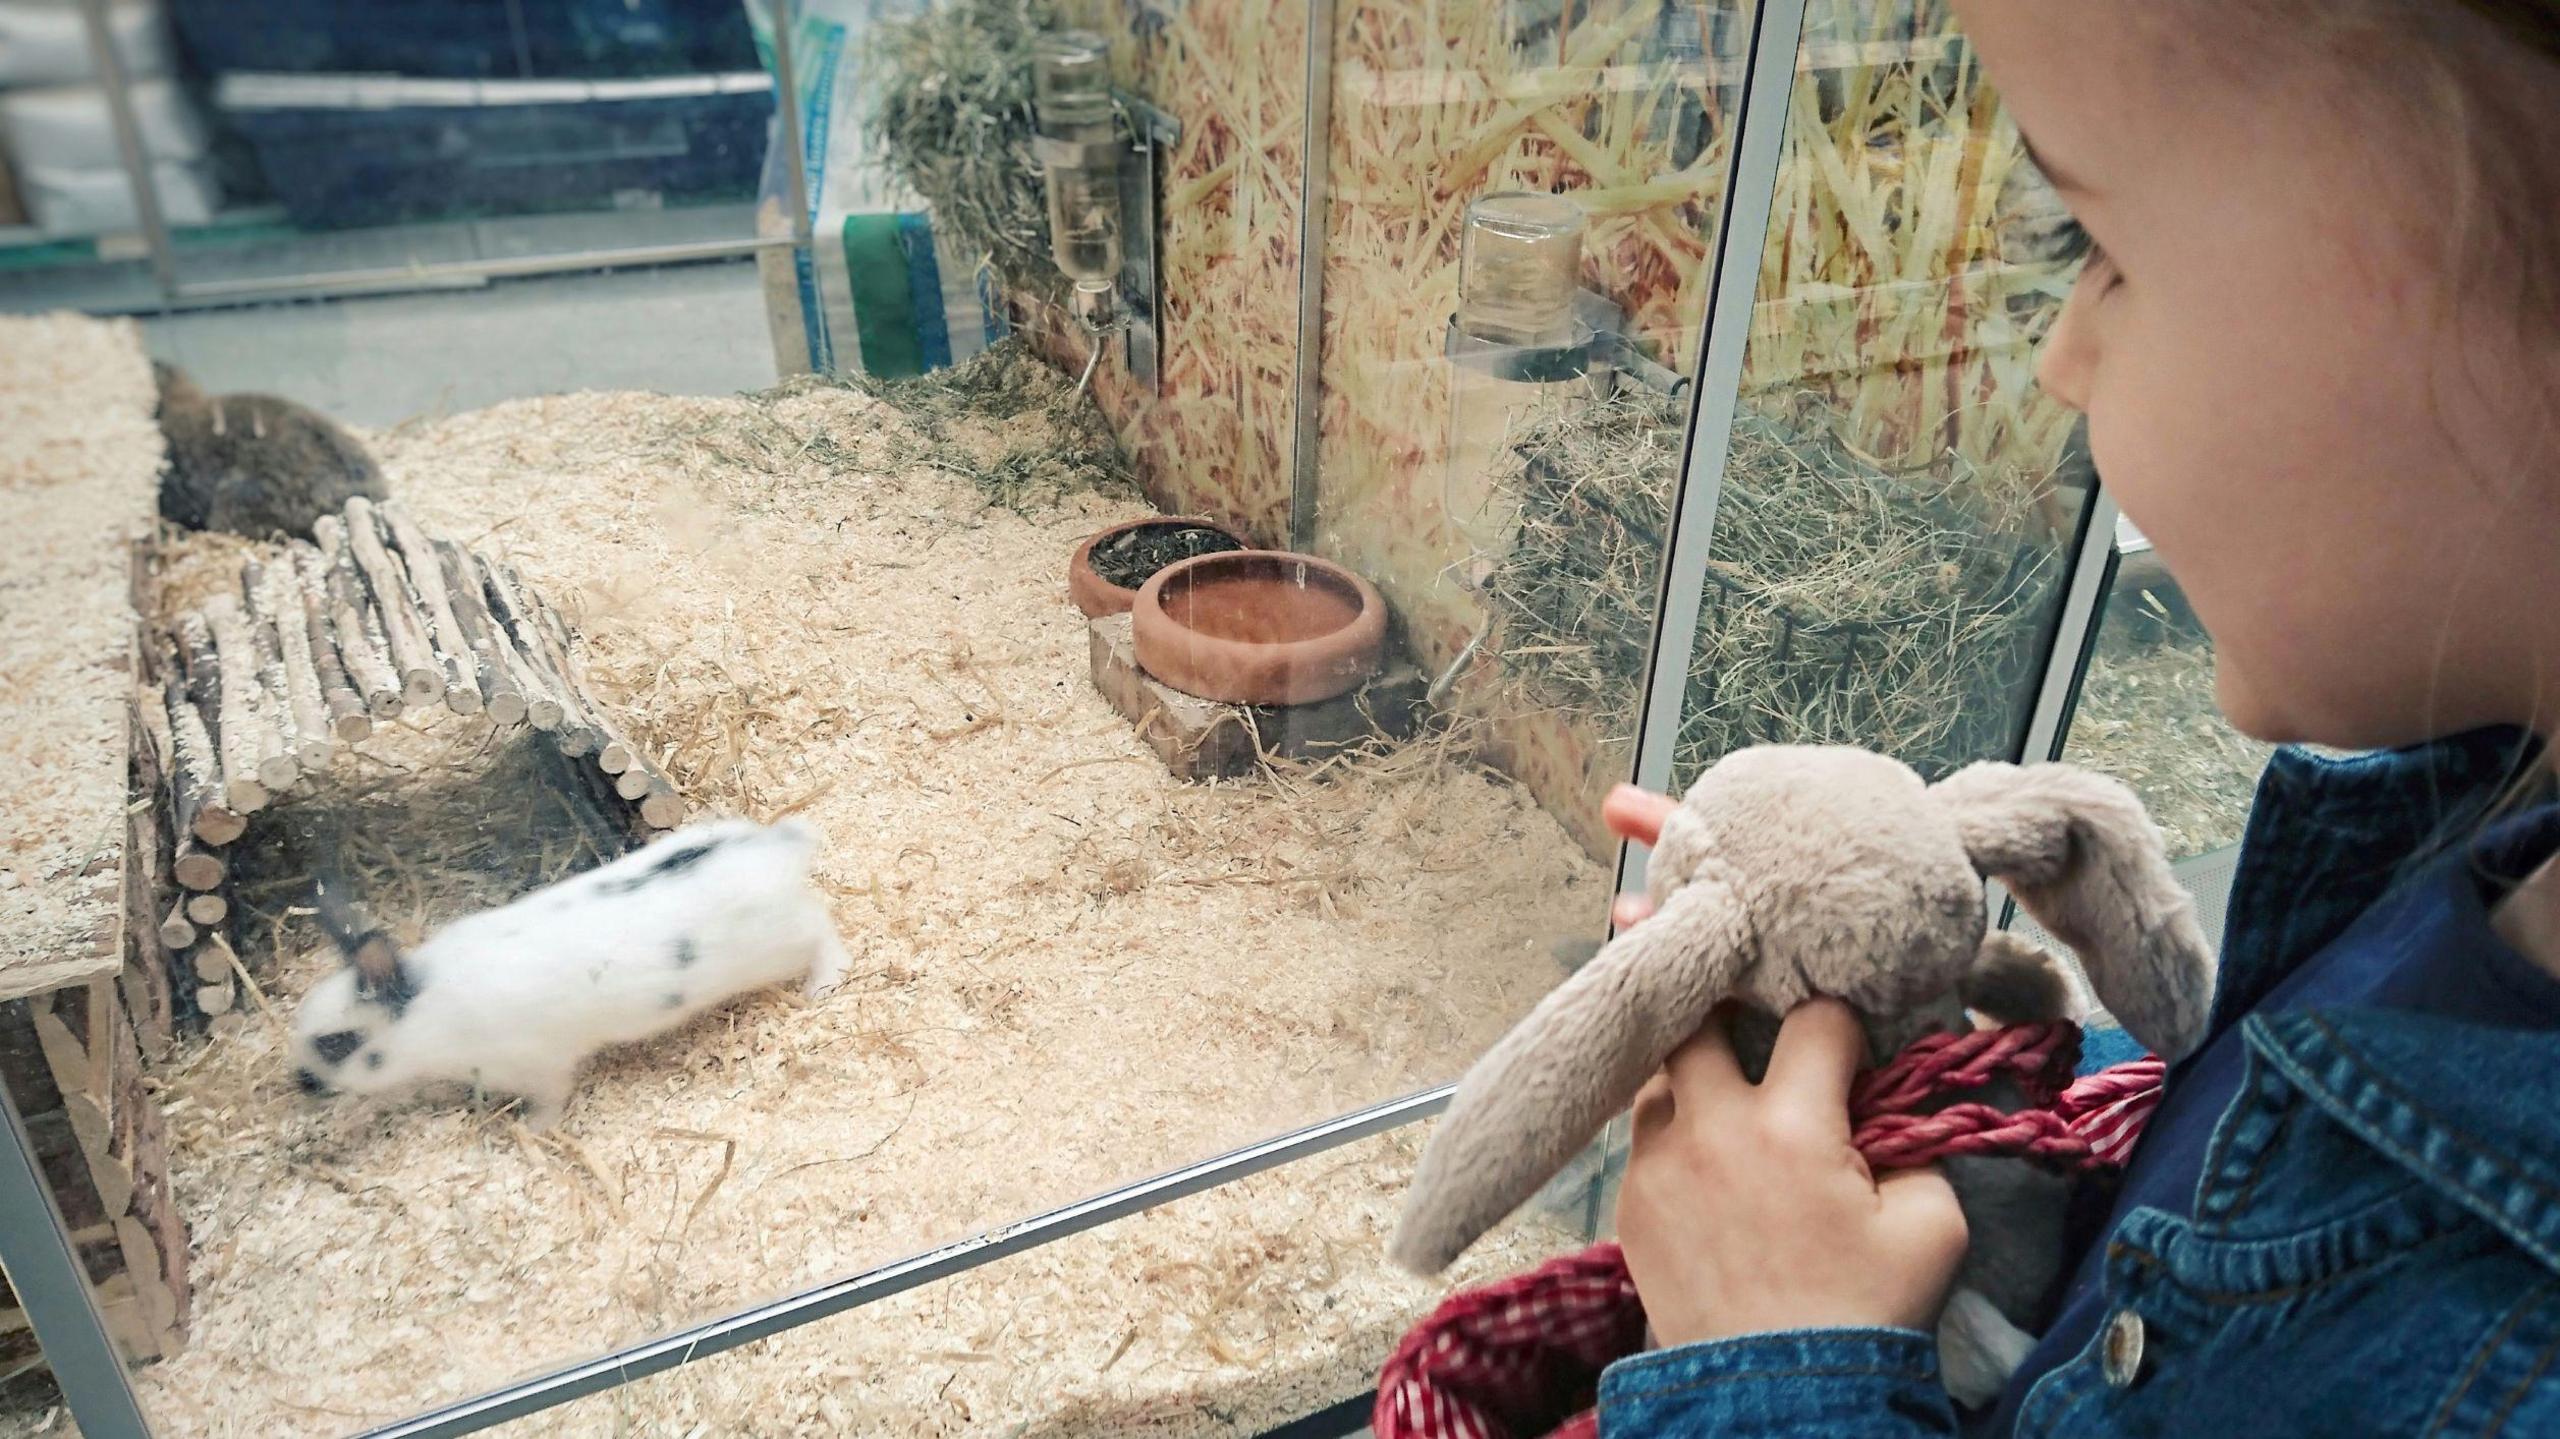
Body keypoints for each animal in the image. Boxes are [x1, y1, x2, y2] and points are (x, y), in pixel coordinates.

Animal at [290, 814, 849, 1126]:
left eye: (337, 1042)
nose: (301, 1084)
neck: (427, 1013)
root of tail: (779, 849)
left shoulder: (539, 1069)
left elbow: (550, 1103)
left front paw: (529, 1131)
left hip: (781, 944)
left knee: (823, 930)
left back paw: (823, 984)